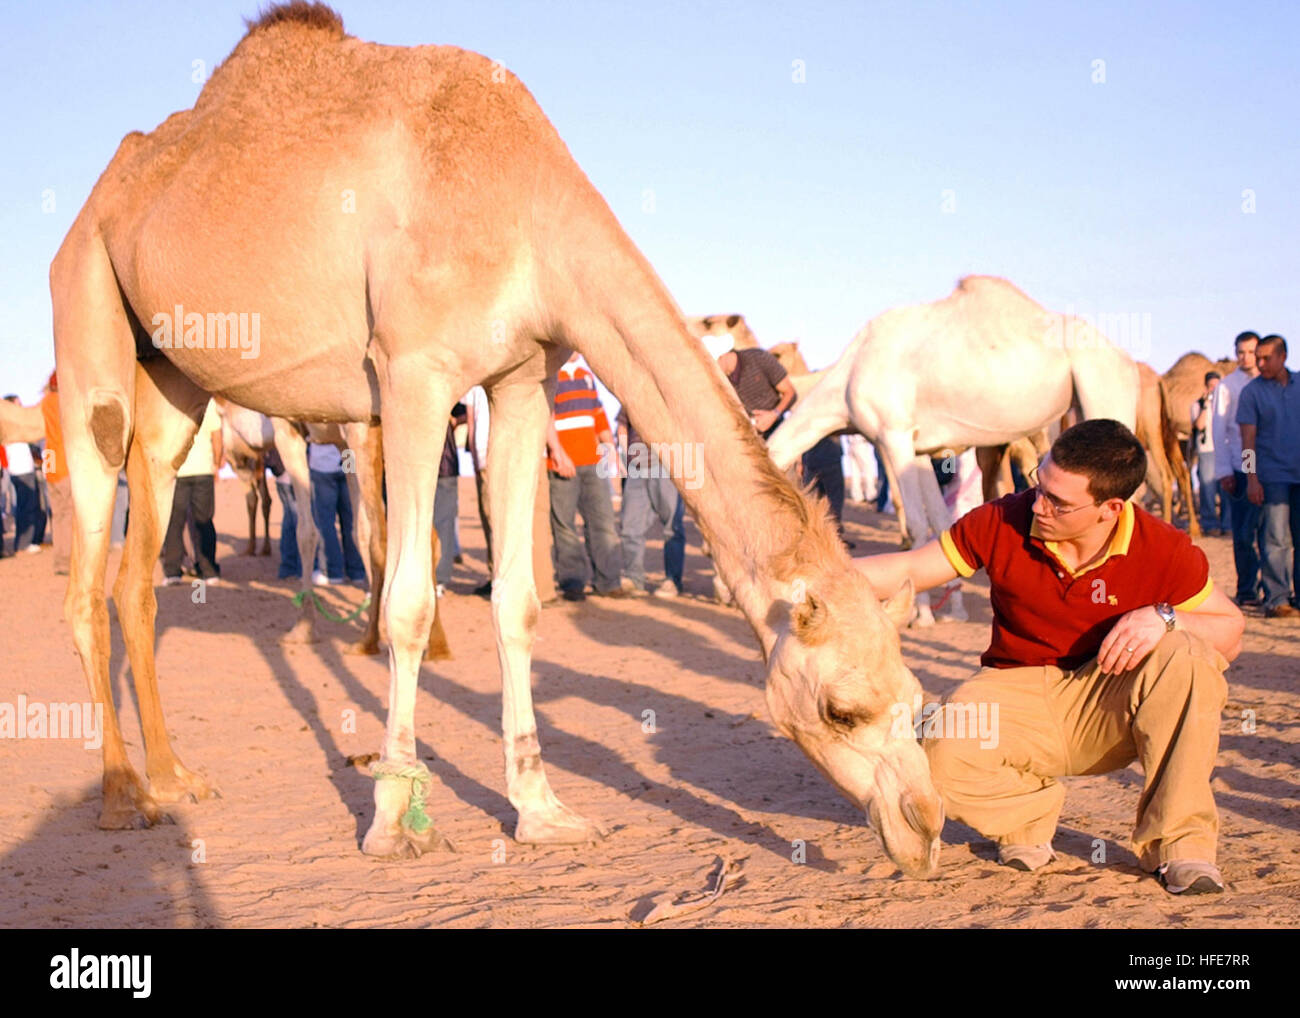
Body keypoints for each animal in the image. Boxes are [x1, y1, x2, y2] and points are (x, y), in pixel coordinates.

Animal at [50, 3, 941, 878]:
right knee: (90, 560)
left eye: (917, 699)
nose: (925, 825)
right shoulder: (411, 374)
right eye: (842, 709)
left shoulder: (521, 380)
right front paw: (393, 821)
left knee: (136, 574)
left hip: (175, 381)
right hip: (87, 319)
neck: (522, 206)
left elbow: (519, 602)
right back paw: (124, 796)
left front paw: (543, 812)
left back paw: (175, 777)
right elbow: (410, 598)